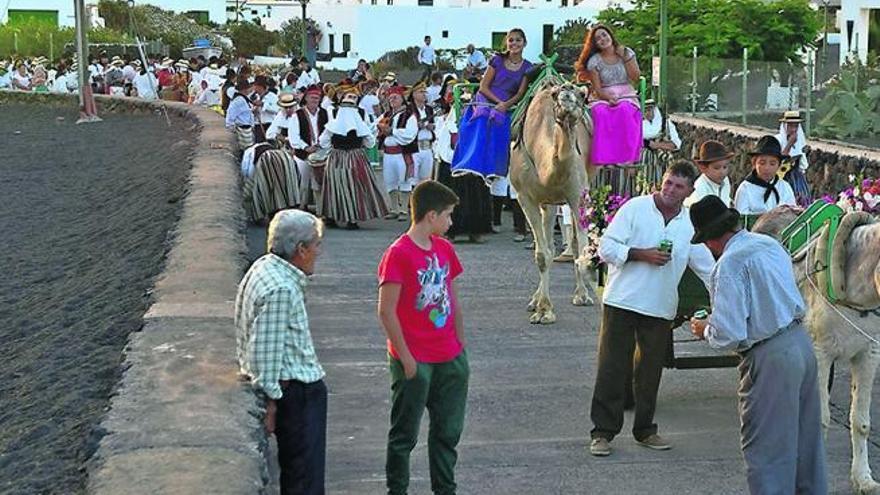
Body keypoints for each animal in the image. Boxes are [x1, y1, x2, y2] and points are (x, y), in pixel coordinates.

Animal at [508, 79, 592, 324]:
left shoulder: (578, 193)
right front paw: (544, 310)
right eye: (555, 95)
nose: (567, 91)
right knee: (547, 243)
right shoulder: (525, 197)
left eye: (583, 95)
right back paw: (535, 300)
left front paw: (582, 295)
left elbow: (581, 249)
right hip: (545, 202)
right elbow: (542, 255)